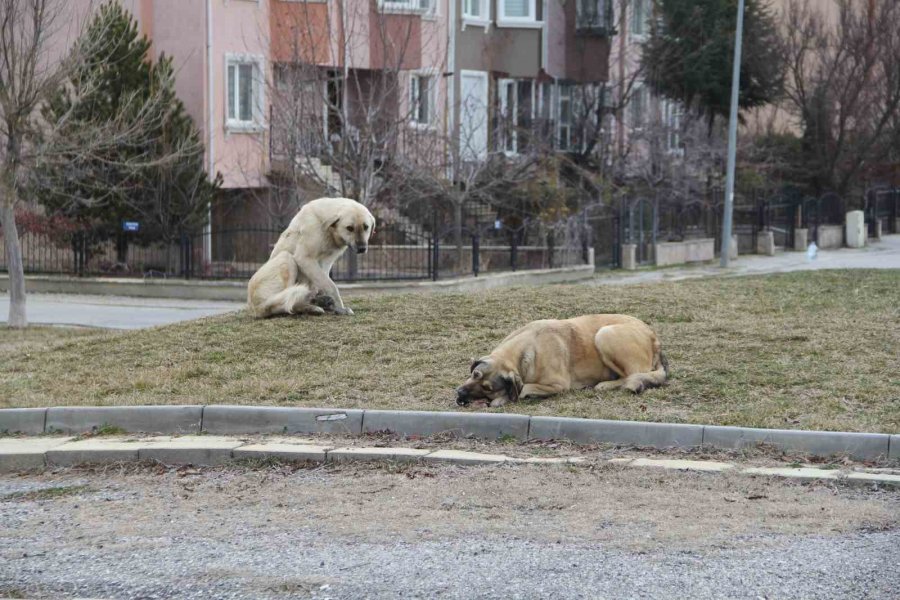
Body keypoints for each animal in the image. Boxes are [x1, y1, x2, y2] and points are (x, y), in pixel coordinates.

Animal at [458, 314, 668, 408]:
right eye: (474, 374)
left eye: (487, 388)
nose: (459, 393)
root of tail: (654, 338)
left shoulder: (558, 385)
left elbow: (524, 388)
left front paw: (504, 398)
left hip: (605, 334)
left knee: (635, 375)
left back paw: (606, 385)